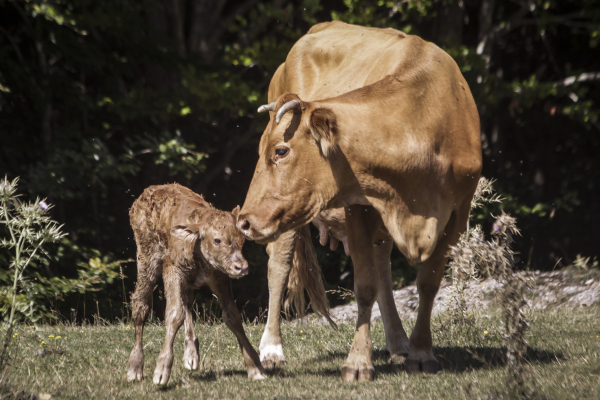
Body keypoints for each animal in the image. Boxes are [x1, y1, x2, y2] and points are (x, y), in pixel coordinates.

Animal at [125, 184, 264, 384]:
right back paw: (134, 367)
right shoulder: (173, 270)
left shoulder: (219, 278)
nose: (241, 267)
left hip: (186, 281)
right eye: (217, 240)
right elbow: (174, 314)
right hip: (146, 258)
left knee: (187, 304)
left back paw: (191, 355)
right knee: (141, 305)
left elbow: (232, 316)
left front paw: (255, 367)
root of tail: (148, 191)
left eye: (242, 240)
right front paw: (162, 370)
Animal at [237, 21, 480, 382]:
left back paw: (399, 344)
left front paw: (421, 353)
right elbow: (364, 285)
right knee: (278, 265)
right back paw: (271, 350)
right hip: (286, 219)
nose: (244, 221)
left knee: (383, 268)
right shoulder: (358, 205)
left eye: (281, 150)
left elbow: (428, 282)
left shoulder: (458, 212)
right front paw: (358, 363)